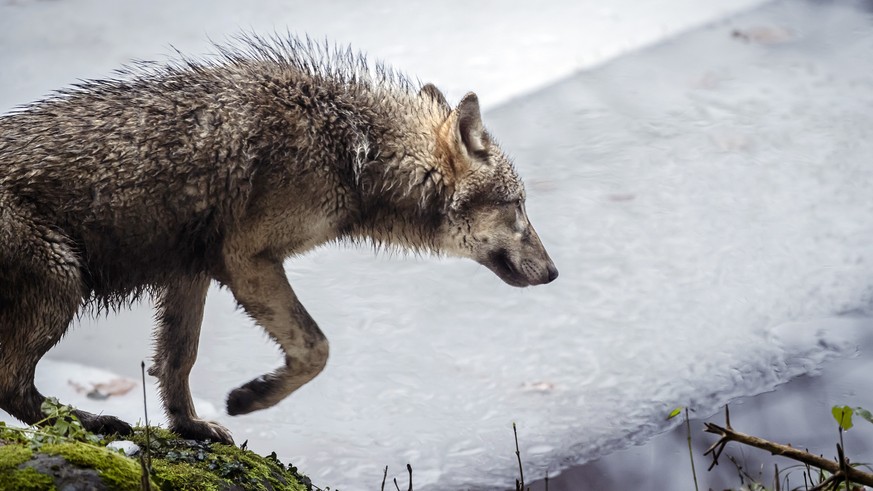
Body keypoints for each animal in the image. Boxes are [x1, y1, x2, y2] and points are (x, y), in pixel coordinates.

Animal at [0, 33, 560, 442]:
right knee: (12, 386)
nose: (555, 273)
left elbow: (176, 362)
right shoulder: (246, 259)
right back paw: (95, 424)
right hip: (63, 284)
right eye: (518, 206)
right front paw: (251, 397)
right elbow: (317, 349)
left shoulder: (192, 271)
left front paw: (191, 427)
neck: (355, 150)